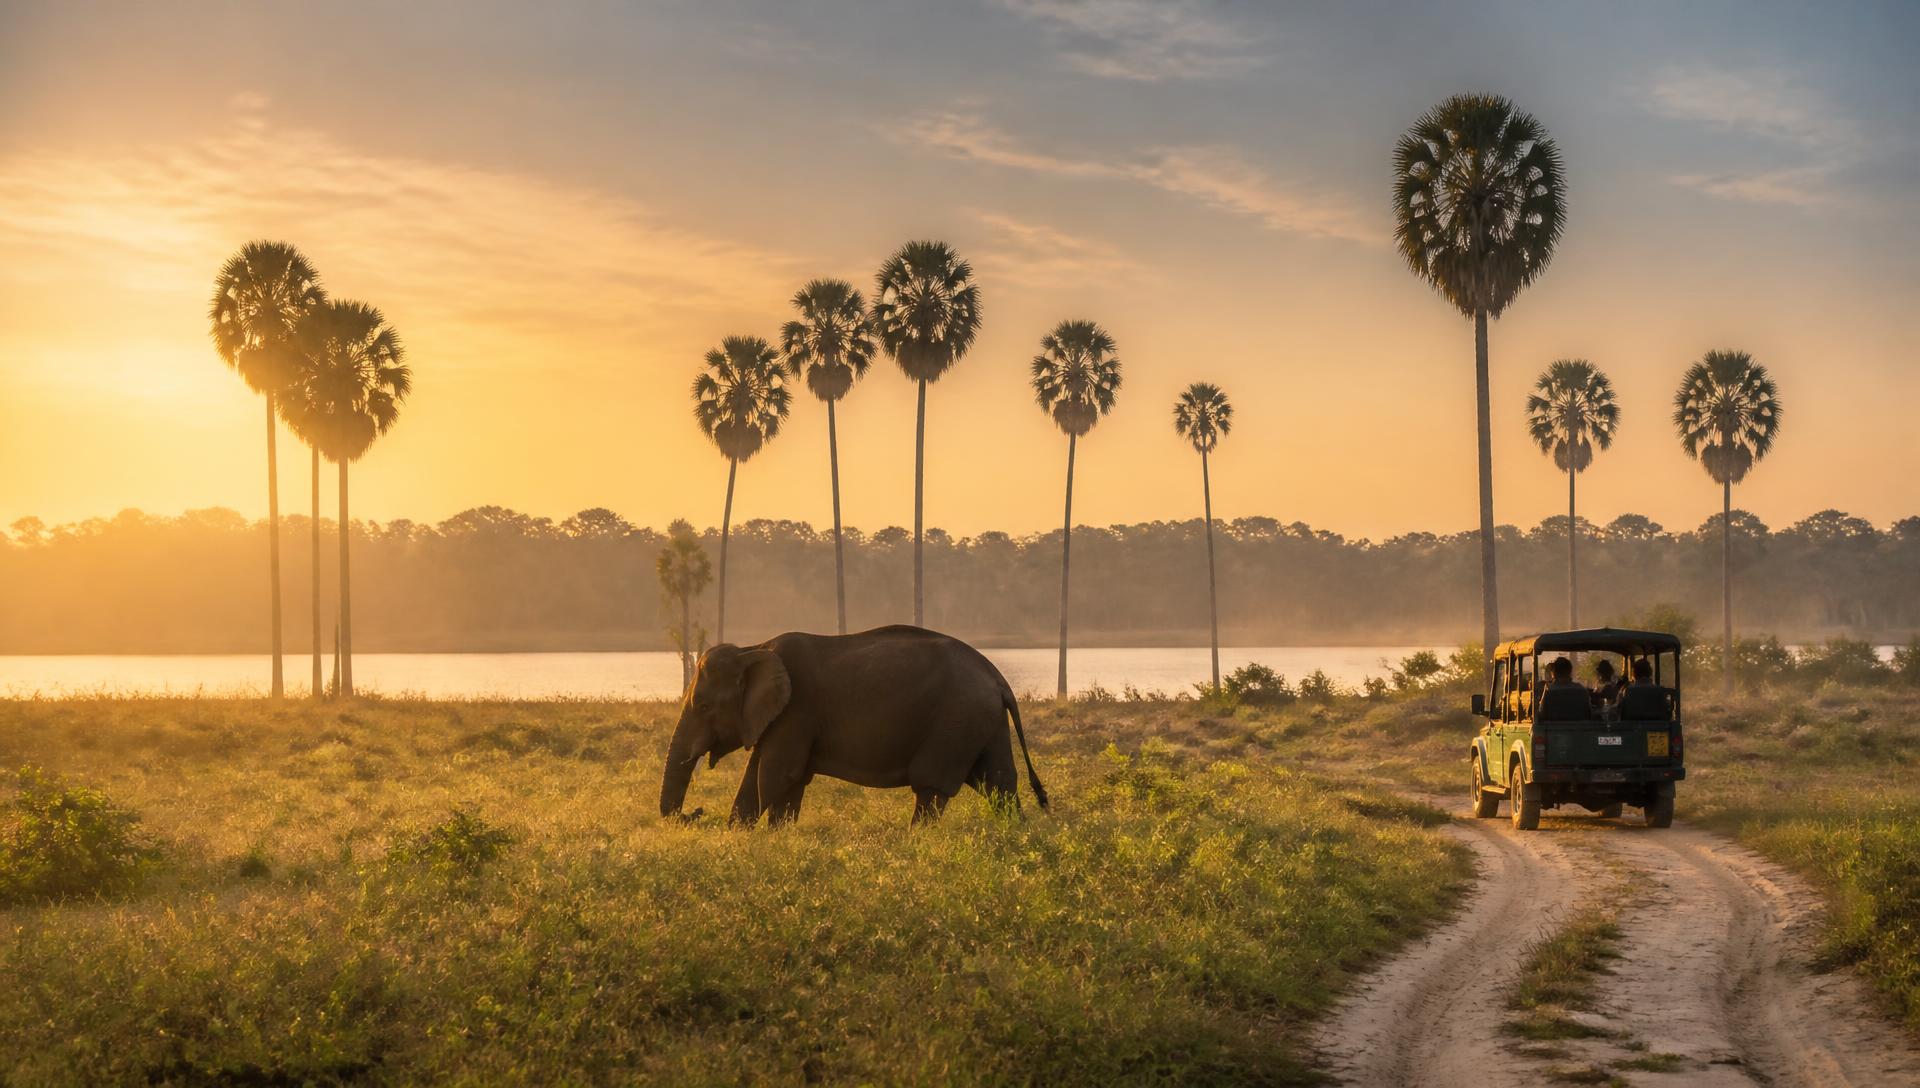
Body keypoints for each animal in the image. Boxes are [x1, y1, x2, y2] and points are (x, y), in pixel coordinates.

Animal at [658, 625, 1048, 826]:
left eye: (703, 706)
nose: (696, 812)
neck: (753, 648)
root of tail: (998, 678)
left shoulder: (796, 711)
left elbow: (776, 775)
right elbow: (782, 778)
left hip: (956, 720)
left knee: (932, 786)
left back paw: (916, 842)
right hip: (983, 722)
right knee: (999, 784)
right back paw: (1013, 836)